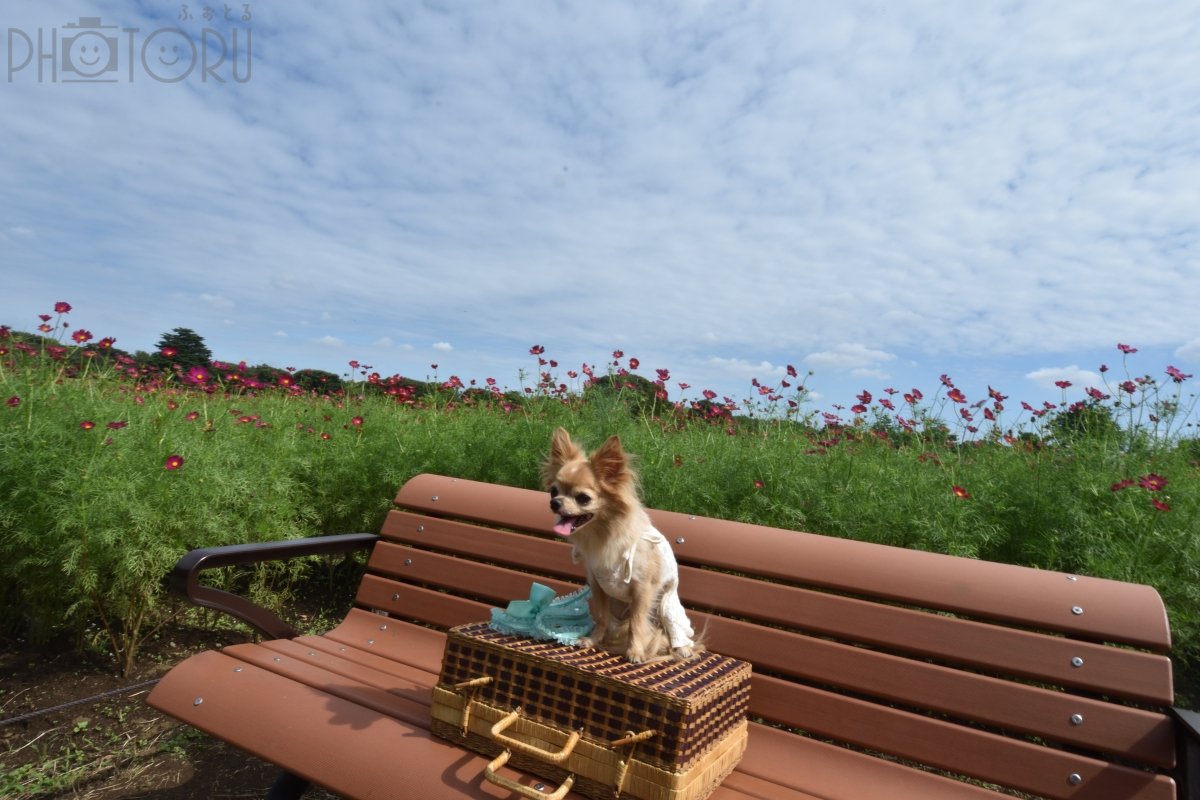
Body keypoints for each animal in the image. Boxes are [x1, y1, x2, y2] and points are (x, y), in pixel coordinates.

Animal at [540, 431, 700, 662]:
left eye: (583, 498)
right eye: (553, 492)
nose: (554, 503)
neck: (605, 534)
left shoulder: (642, 591)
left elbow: (636, 624)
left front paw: (635, 652)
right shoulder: (598, 586)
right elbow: (601, 617)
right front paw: (593, 640)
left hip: (666, 607)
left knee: (675, 633)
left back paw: (683, 649)